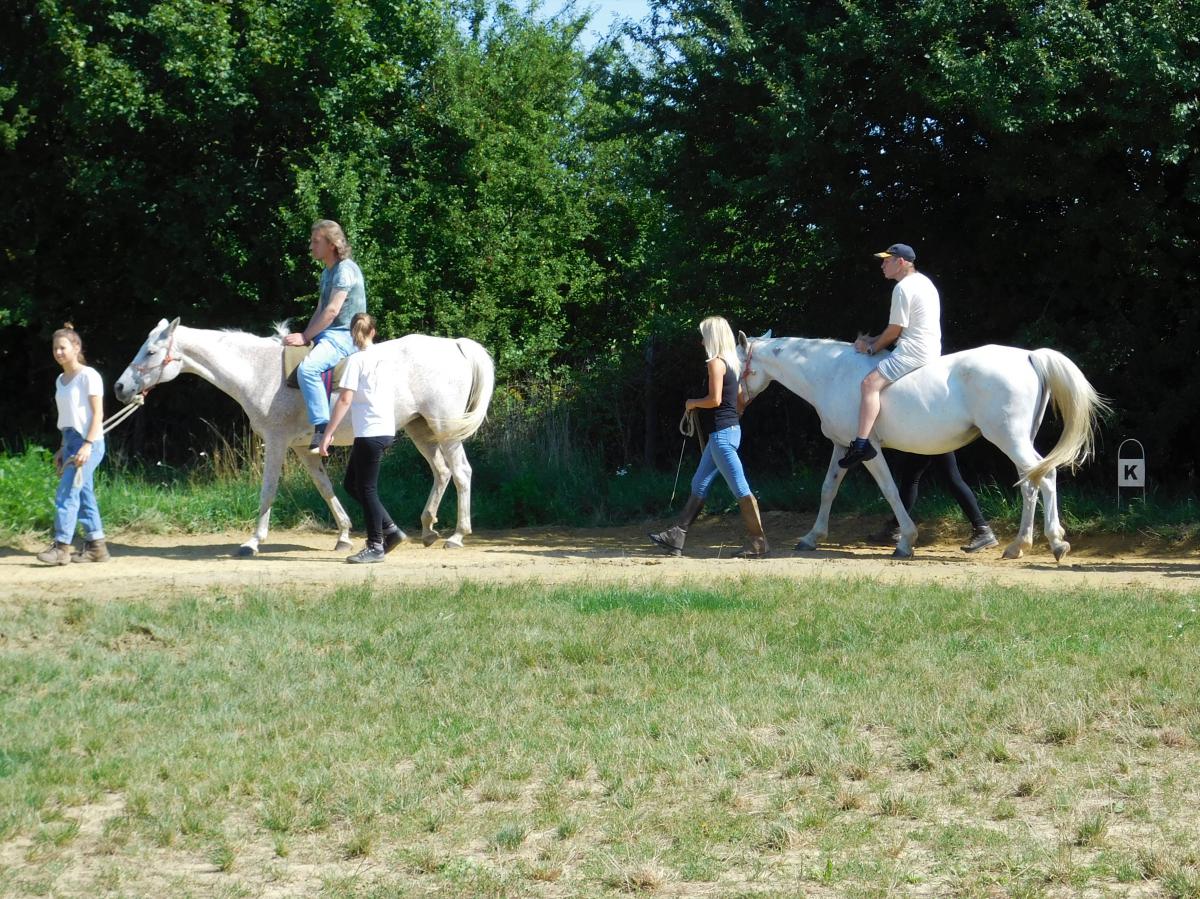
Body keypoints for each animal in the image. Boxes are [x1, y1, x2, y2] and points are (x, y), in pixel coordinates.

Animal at [114, 318, 494, 556]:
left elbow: (268, 492)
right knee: (442, 472)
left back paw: (457, 536)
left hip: (445, 430)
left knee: (461, 473)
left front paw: (252, 542)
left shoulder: (277, 443)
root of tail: (455, 345)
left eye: (150, 352)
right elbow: (326, 490)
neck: (260, 371)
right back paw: (428, 529)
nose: (119, 387)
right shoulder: (305, 450)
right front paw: (344, 535)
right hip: (421, 430)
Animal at [736, 332, 1109, 561]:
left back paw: (1056, 542)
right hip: (1016, 441)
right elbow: (828, 489)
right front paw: (812, 537)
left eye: (737, 366)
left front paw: (905, 541)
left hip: (1010, 439)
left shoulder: (867, 450)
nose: (734, 406)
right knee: (1031, 482)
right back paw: (1018, 545)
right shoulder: (842, 446)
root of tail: (1030, 356)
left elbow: (890, 490)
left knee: (1045, 477)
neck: (830, 373)